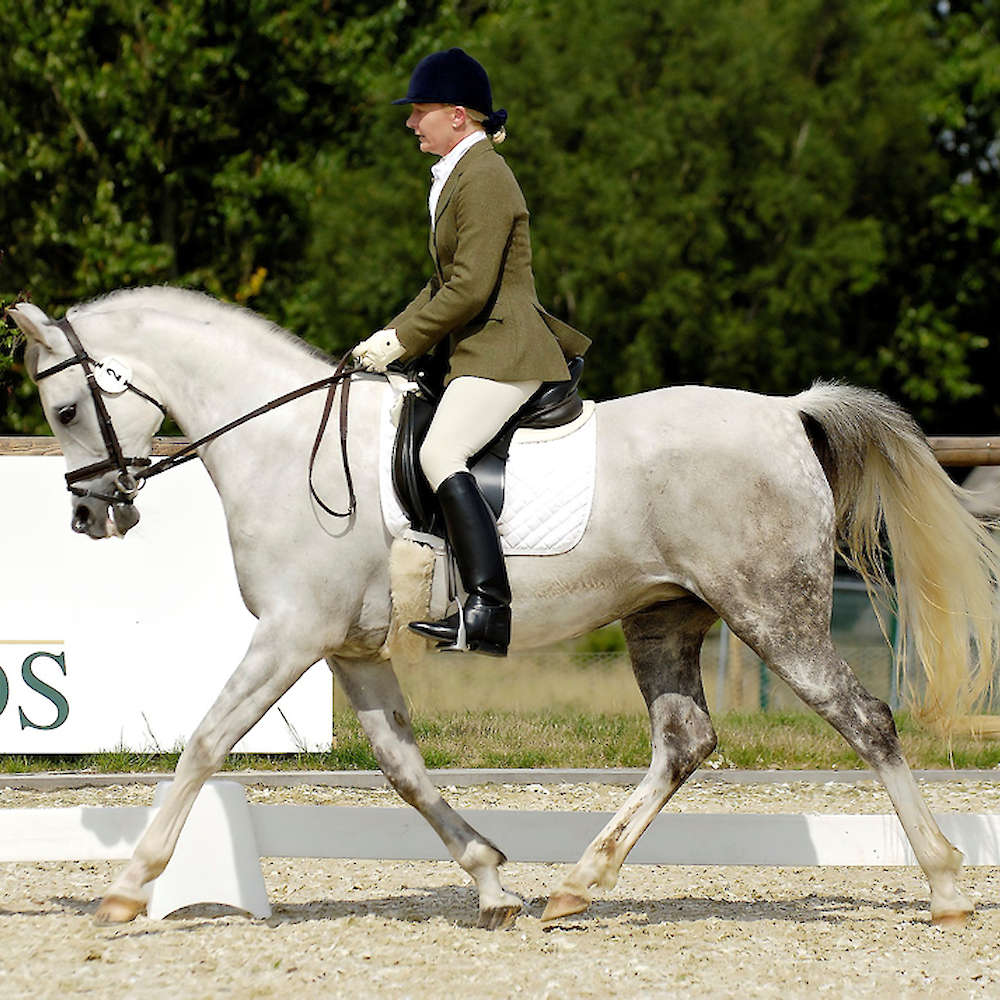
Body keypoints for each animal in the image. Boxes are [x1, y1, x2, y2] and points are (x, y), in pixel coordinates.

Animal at [9, 286, 1000, 929]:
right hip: (664, 616)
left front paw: (130, 886)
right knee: (683, 742)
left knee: (866, 722)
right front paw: (491, 883)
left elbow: (207, 742)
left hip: (773, 612)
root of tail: (788, 413)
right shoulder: (350, 647)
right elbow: (404, 768)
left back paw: (948, 888)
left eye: (64, 408)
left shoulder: (292, 633)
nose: (92, 515)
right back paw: (576, 887)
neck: (282, 443)